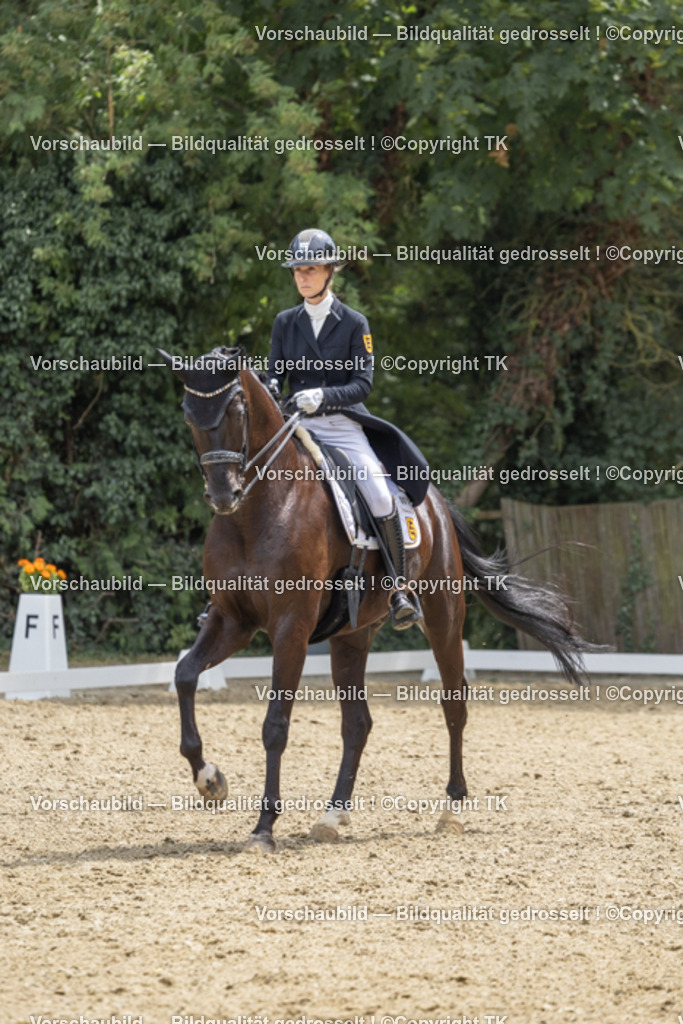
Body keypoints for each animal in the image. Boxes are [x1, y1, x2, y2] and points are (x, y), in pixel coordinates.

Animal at [161, 346, 594, 852]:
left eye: (236, 411)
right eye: (188, 414)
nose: (223, 495)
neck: (258, 510)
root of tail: (435, 505)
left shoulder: (290, 627)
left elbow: (275, 725)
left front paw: (264, 827)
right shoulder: (233, 619)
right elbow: (185, 675)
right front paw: (210, 779)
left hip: (444, 619)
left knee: (454, 703)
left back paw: (451, 809)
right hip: (352, 635)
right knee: (358, 723)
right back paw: (332, 815)